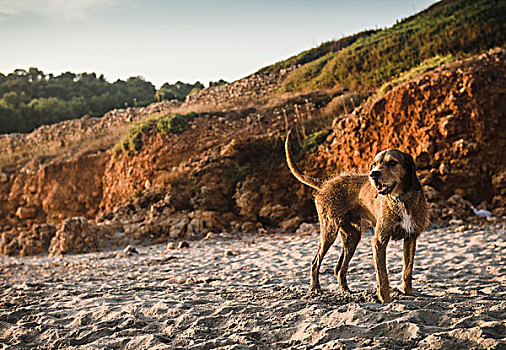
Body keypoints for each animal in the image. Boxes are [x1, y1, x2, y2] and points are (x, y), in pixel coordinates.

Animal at [284, 131, 426, 304]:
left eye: (393, 162)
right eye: (374, 164)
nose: (373, 174)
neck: (400, 199)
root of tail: (325, 184)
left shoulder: (411, 237)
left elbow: (408, 269)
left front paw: (408, 292)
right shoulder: (379, 241)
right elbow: (382, 275)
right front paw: (385, 299)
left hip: (352, 236)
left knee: (339, 268)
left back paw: (346, 292)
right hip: (329, 231)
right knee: (315, 261)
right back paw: (315, 288)